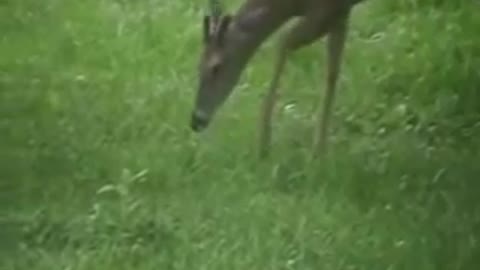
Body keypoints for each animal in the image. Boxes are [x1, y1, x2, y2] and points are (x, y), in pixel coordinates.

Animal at [189, 0, 366, 157]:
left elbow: (282, 42)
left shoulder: (327, 11)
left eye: (216, 67)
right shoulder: (340, 13)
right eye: (198, 64)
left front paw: (264, 145)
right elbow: (332, 74)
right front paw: (321, 152)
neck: (291, 6)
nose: (196, 121)